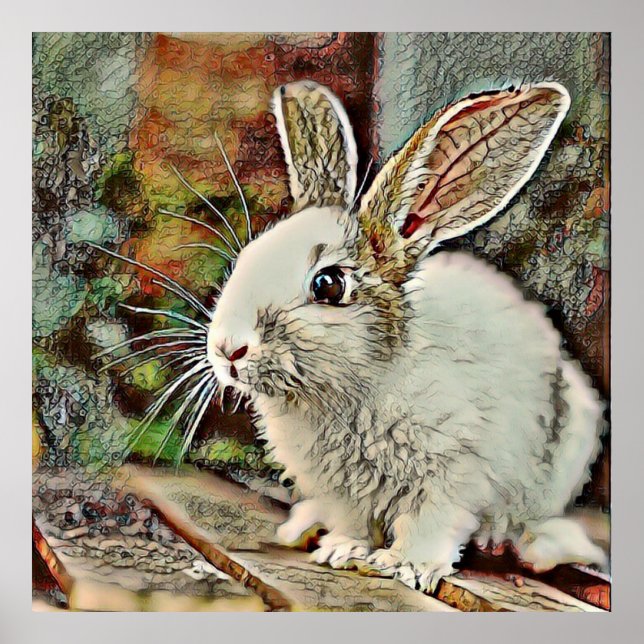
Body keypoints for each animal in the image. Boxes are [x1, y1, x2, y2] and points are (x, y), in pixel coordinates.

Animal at [206, 80, 607, 592]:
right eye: (246, 259)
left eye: (328, 285)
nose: (227, 349)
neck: (354, 386)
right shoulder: (341, 491)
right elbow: (354, 522)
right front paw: (343, 550)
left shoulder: (451, 475)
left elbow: (431, 525)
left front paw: (406, 567)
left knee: (524, 520)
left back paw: (514, 542)